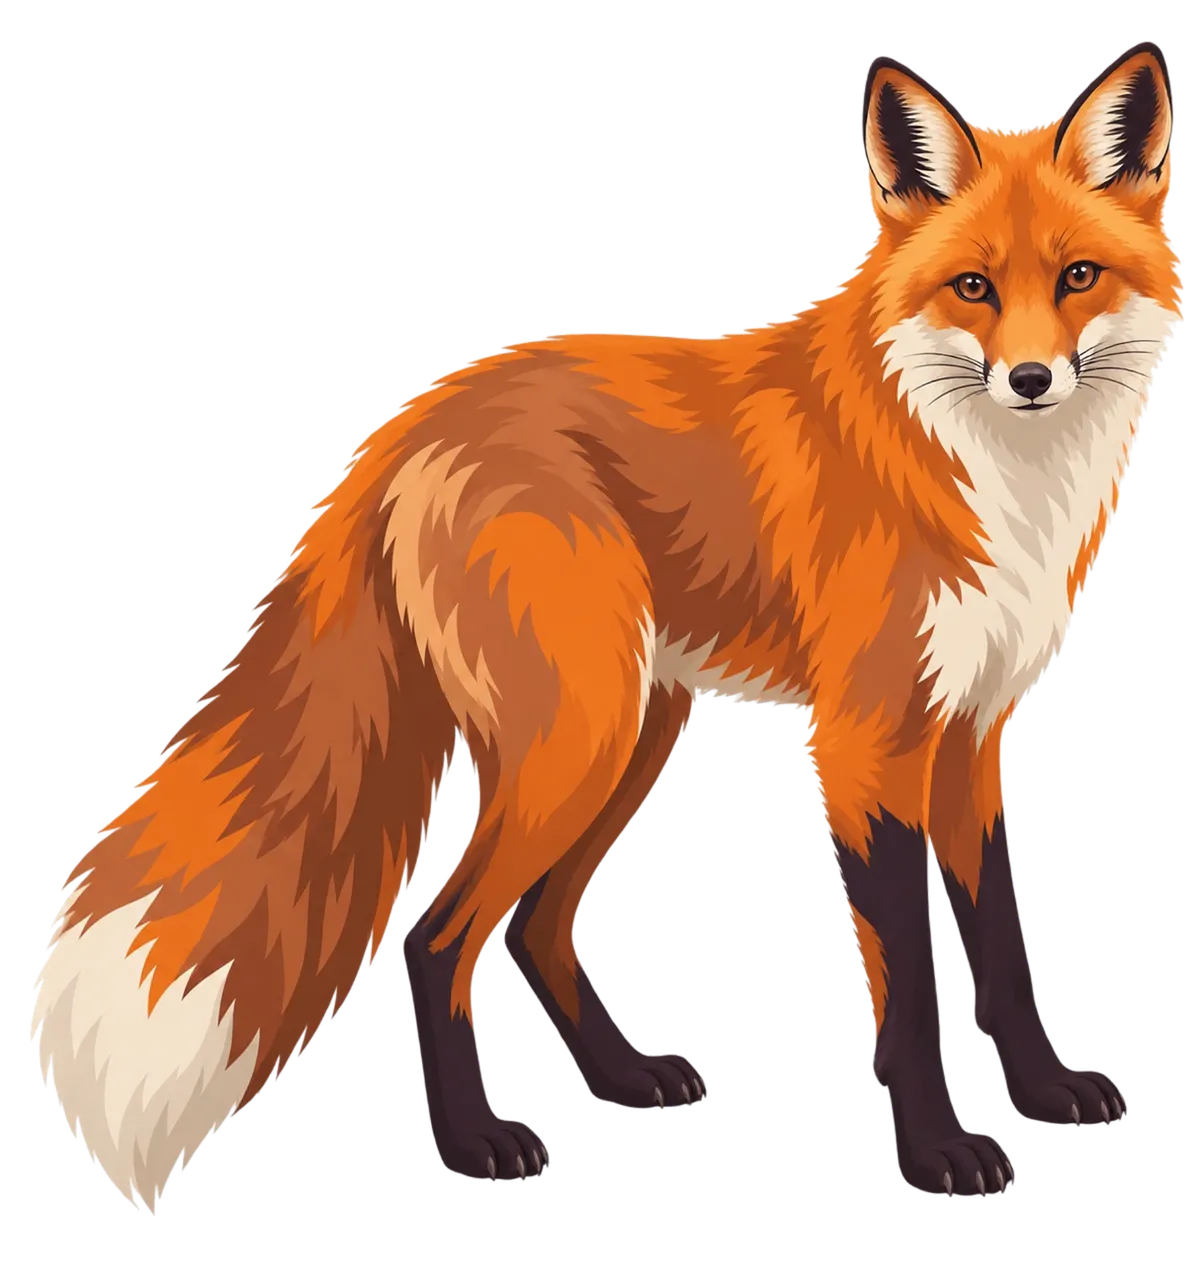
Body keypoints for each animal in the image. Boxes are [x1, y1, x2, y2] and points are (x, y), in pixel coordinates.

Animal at [30, 40, 1183, 1209]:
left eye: (1078, 277)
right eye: (973, 288)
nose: (1031, 378)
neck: (988, 472)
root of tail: (408, 419)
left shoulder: (971, 727)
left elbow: (995, 921)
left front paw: (1044, 1092)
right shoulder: (867, 737)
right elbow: (905, 964)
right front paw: (938, 1149)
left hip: (628, 730)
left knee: (533, 922)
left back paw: (623, 1079)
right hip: (578, 732)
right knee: (439, 937)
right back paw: (473, 1143)